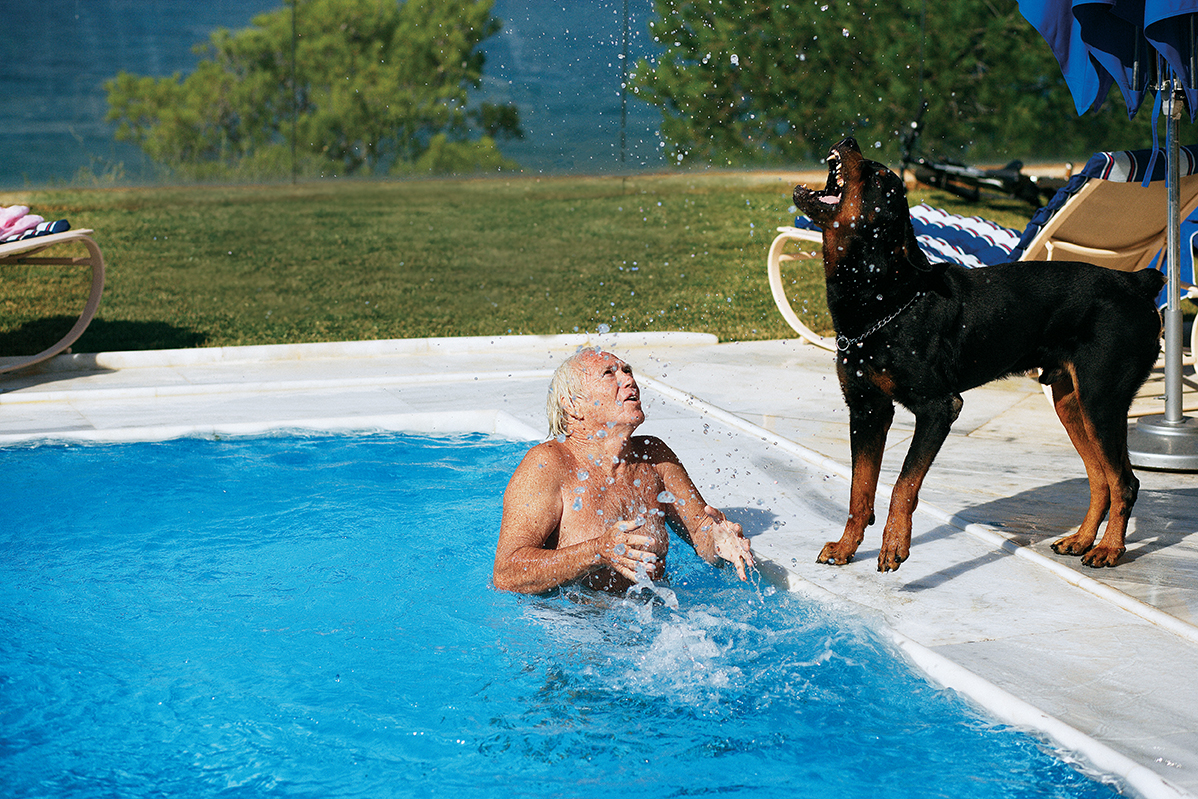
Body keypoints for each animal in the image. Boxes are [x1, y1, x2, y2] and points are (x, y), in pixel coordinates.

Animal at [790, 140, 1164, 572]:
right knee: (1101, 479)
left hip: (1102, 400)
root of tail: (1136, 282)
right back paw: (1082, 540)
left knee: (1125, 482)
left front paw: (895, 544)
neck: (886, 297)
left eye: (879, 175)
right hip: (1072, 402)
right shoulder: (867, 408)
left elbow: (903, 483)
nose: (848, 142)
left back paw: (1109, 549)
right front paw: (845, 547)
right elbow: (859, 489)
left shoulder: (939, 408)